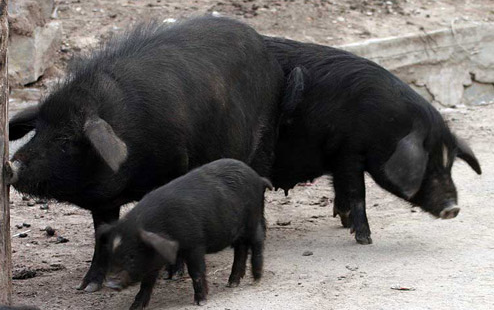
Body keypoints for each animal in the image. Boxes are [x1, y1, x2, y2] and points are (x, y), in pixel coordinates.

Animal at [98, 159, 272, 308]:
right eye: (111, 254)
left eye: (131, 256)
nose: (111, 284)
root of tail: (258, 178)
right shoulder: (154, 256)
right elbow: (147, 282)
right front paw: (135, 307)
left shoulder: (195, 244)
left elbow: (196, 271)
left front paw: (200, 302)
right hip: (237, 230)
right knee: (240, 249)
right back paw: (232, 283)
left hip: (253, 218)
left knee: (257, 240)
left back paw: (256, 278)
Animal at [264, 36, 480, 245]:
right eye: (428, 166)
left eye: (449, 166)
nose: (453, 208)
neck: (383, 124)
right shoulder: (348, 151)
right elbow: (357, 192)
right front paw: (365, 239)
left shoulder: (340, 157)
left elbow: (342, 188)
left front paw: (345, 222)